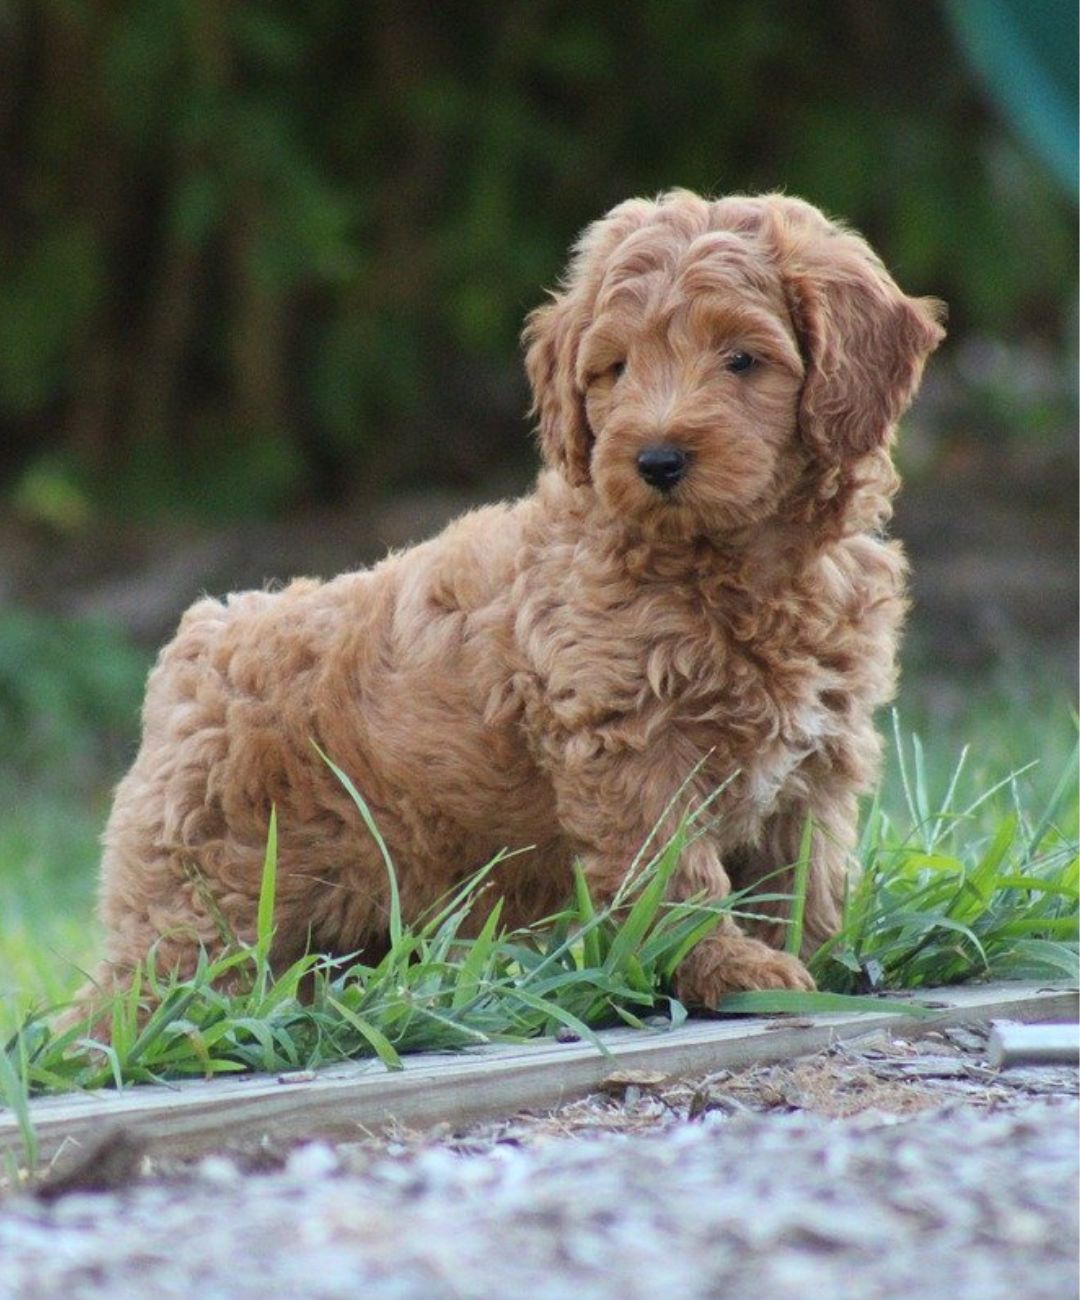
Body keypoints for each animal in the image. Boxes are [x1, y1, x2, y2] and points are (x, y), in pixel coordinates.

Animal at [86, 192, 946, 1008]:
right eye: (616, 369)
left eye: (742, 360)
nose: (656, 459)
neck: (731, 564)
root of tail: (207, 632)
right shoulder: (631, 745)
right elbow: (675, 876)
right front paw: (729, 968)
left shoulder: (818, 755)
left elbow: (803, 876)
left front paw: (815, 961)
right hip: (199, 895)